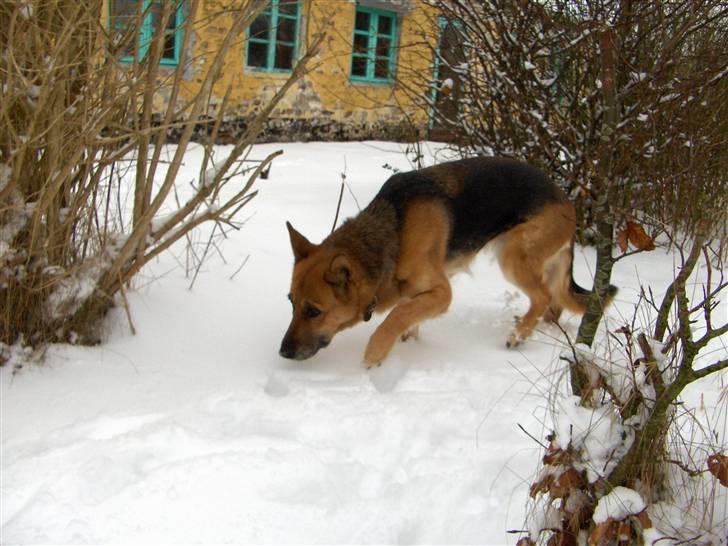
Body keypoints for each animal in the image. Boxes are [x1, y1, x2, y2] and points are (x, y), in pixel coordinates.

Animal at [278, 159, 616, 368]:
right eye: (291, 303)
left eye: (313, 311)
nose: (283, 352)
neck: (395, 232)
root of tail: (566, 199)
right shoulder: (422, 292)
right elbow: (409, 311)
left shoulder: (442, 293)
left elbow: (397, 314)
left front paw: (375, 354)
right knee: (554, 301)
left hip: (513, 255)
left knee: (544, 295)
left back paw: (519, 334)